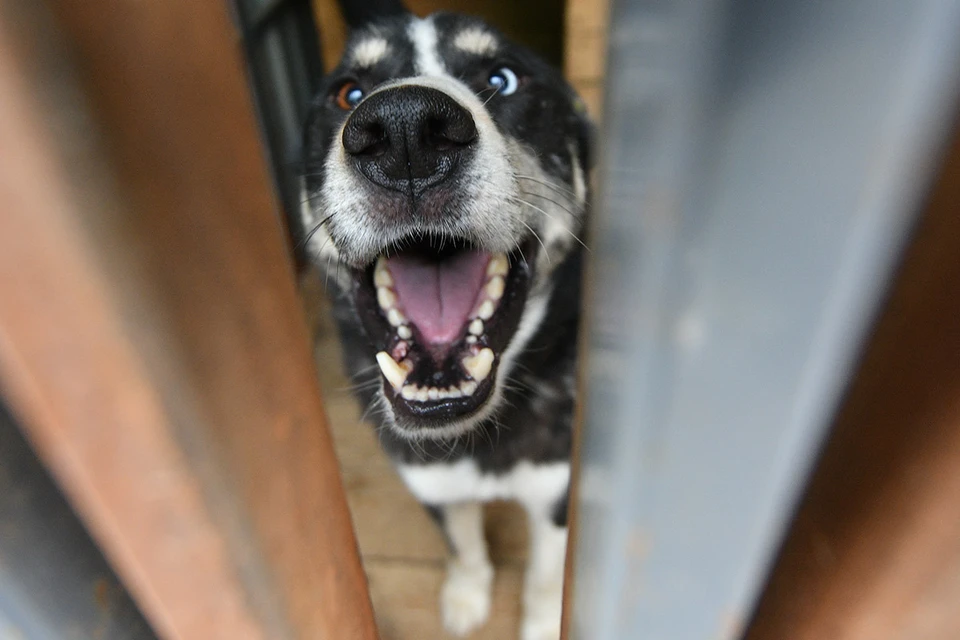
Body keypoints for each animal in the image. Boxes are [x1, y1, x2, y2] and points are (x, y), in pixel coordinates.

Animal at [298, 3, 592, 636]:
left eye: (503, 79)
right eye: (346, 92)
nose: (405, 132)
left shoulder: (559, 491)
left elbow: (544, 576)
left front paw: (541, 622)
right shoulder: (430, 482)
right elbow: (463, 545)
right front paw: (466, 596)